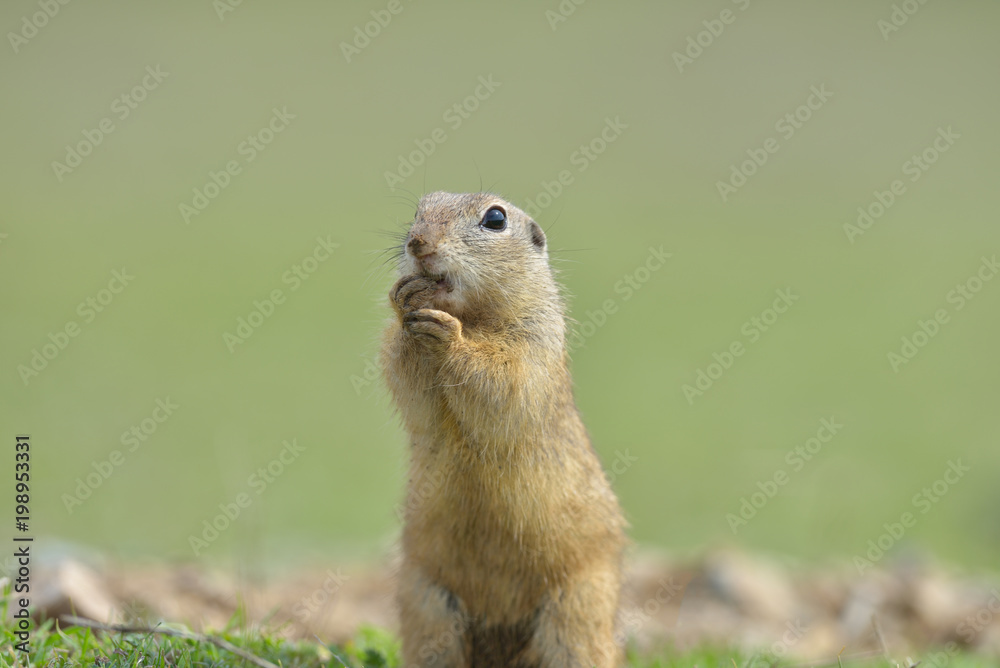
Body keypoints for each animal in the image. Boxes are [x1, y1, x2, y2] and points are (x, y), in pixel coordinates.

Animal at [381, 191, 627, 667]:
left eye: (495, 219)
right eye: (420, 208)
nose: (418, 242)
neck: (475, 317)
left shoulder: (536, 341)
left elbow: (506, 381)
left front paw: (450, 338)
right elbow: (408, 380)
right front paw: (403, 300)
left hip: (578, 609)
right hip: (427, 604)